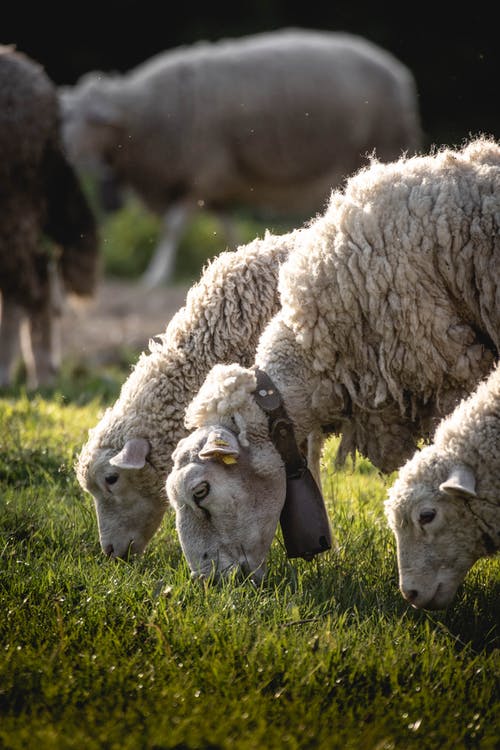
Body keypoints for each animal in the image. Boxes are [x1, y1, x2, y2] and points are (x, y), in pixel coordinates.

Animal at [59, 28, 422, 288]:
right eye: (66, 115)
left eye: (89, 119)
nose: (64, 151)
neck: (143, 114)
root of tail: (398, 72)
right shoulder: (218, 183)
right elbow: (227, 226)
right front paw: (240, 257)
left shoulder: (204, 172)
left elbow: (174, 228)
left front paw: (155, 275)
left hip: (384, 146)